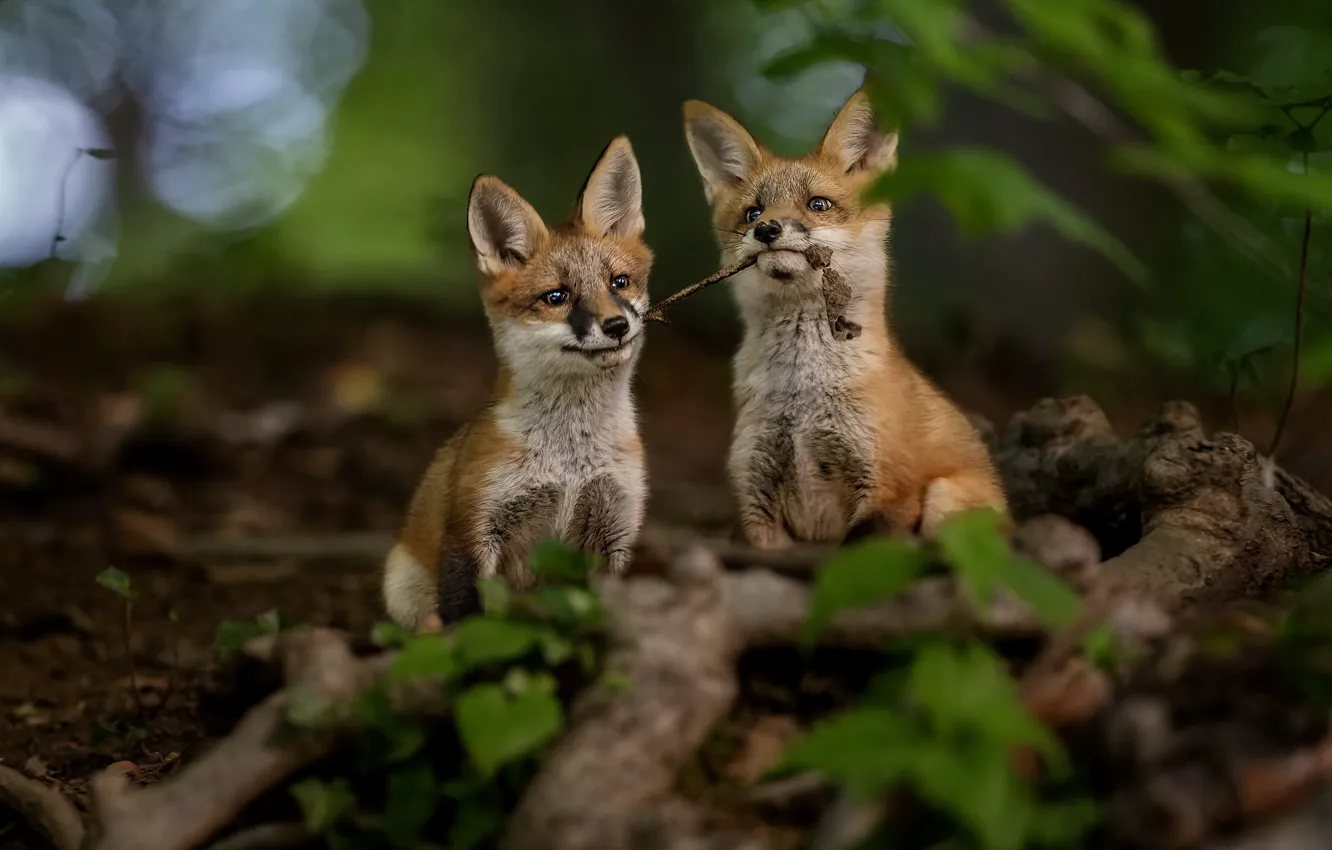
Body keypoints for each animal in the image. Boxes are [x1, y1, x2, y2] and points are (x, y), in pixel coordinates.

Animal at [382, 136, 652, 631]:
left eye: (619, 282)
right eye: (556, 297)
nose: (616, 325)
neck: (569, 461)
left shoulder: (617, 527)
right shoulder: (474, 527)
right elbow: (466, 622)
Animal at [681, 87, 1007, 548]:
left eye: (818, 204)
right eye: (752, 213)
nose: (767, 230)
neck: (801, 395)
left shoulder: (885, 487)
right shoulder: (756, 491)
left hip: (947, 499)